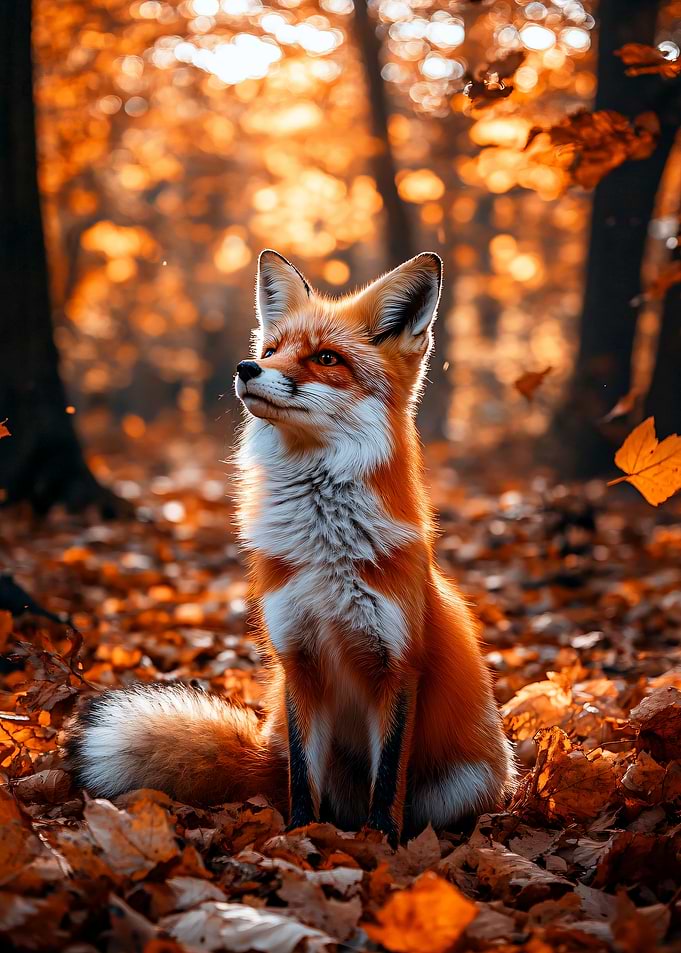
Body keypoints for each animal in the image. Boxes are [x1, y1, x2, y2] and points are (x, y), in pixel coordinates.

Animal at [66, 250, 515, 845]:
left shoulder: (398, 666)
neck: (326, 551)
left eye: (326, 358)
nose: (246, 368)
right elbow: (303, 778)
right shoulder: (298, 660)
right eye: (271, 351)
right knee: (291, 774)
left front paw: (381, 847)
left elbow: (388, 784)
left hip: (466, 783)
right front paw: (301, 839)